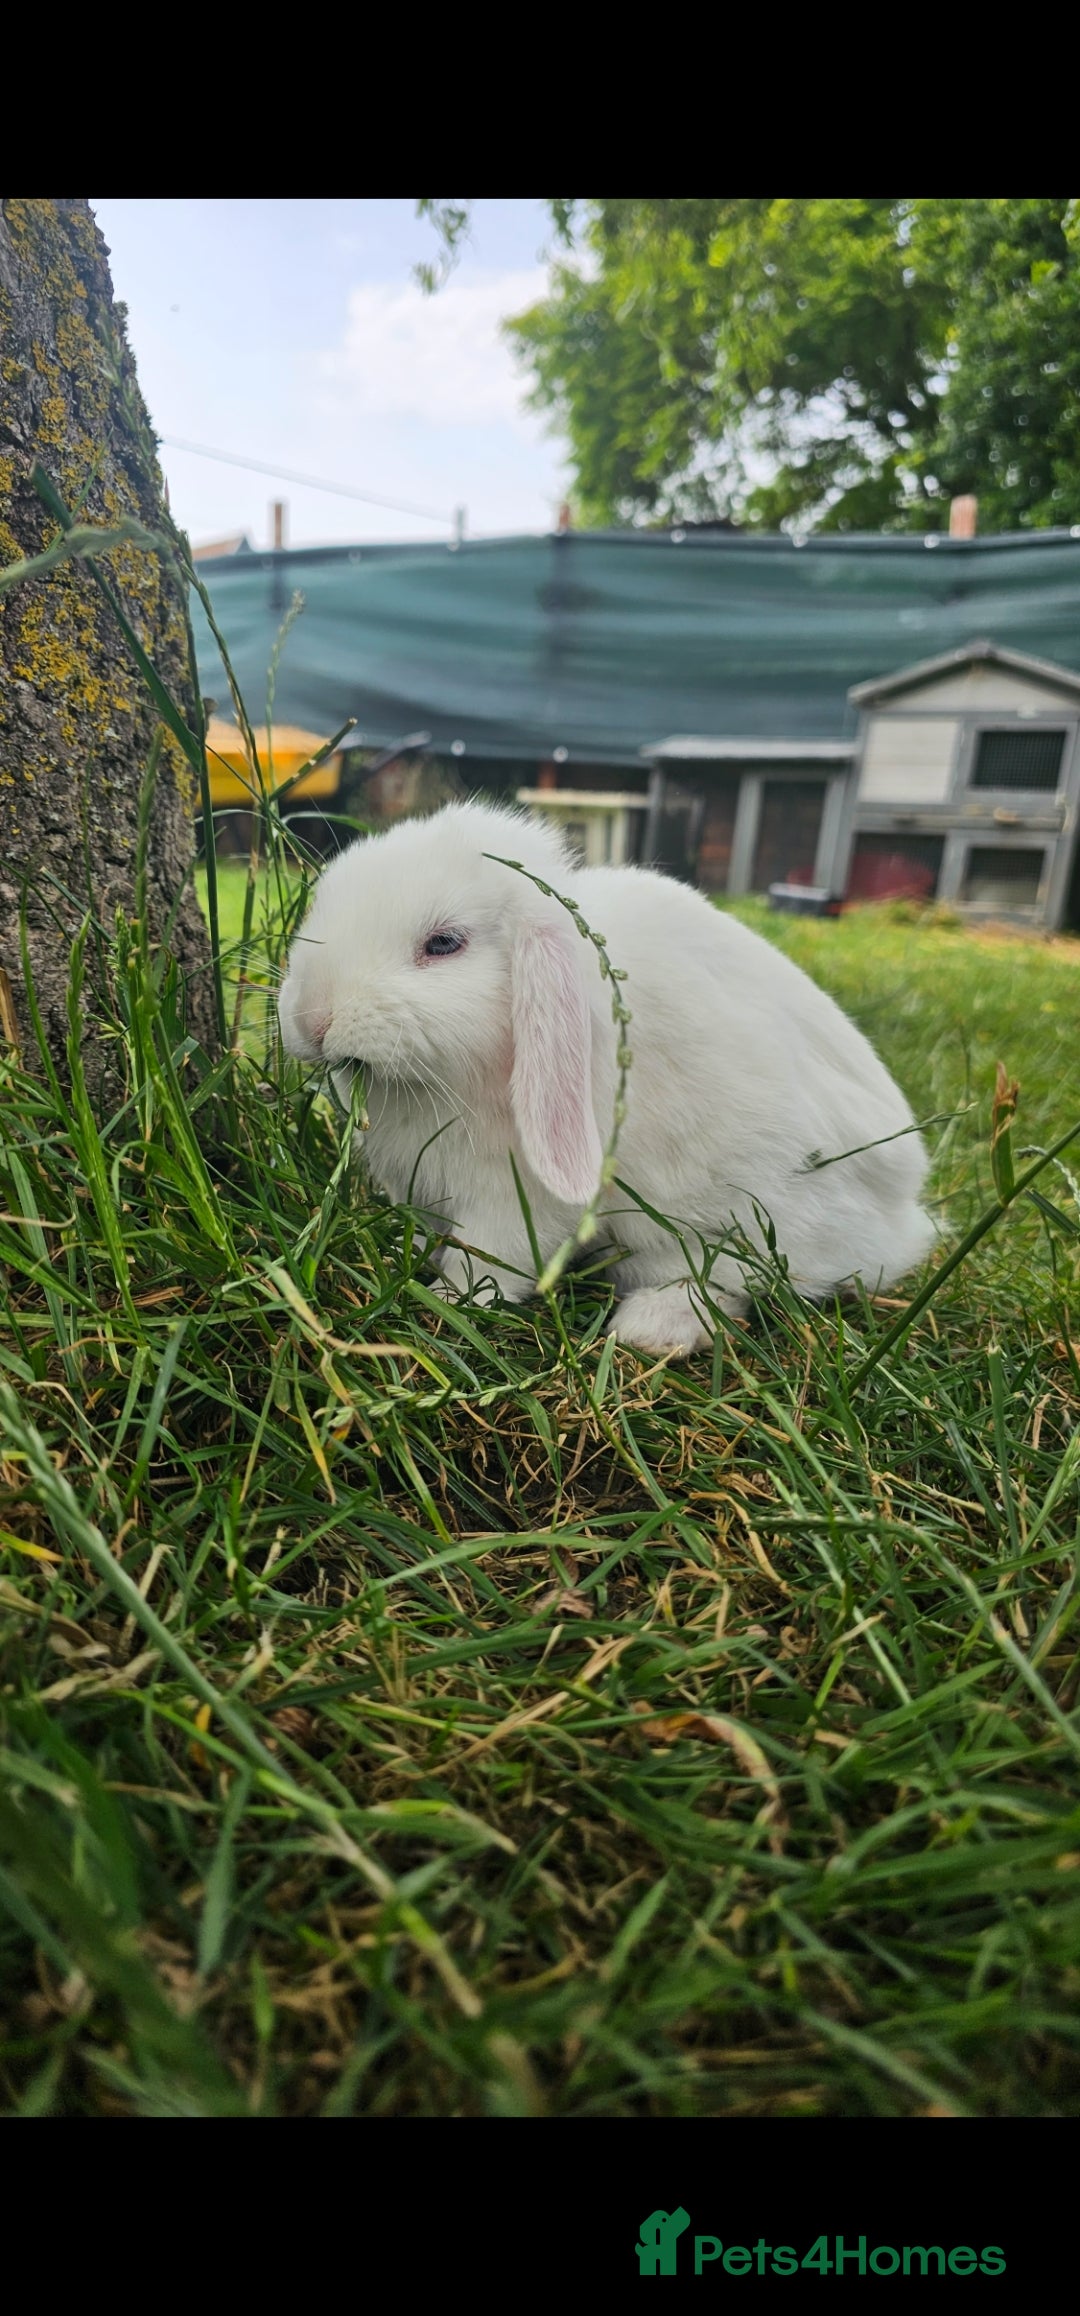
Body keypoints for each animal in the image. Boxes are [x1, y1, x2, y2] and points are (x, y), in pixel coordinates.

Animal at [278, 800, 938, 1355]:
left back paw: (653, 1328)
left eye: (443, 943)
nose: (312, 1018)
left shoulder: (516, 1200)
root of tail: (904, 1222)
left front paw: (449, 1304)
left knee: (732, 1286)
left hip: (743, 1226)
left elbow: (491, 1259)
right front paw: (405, 1253)